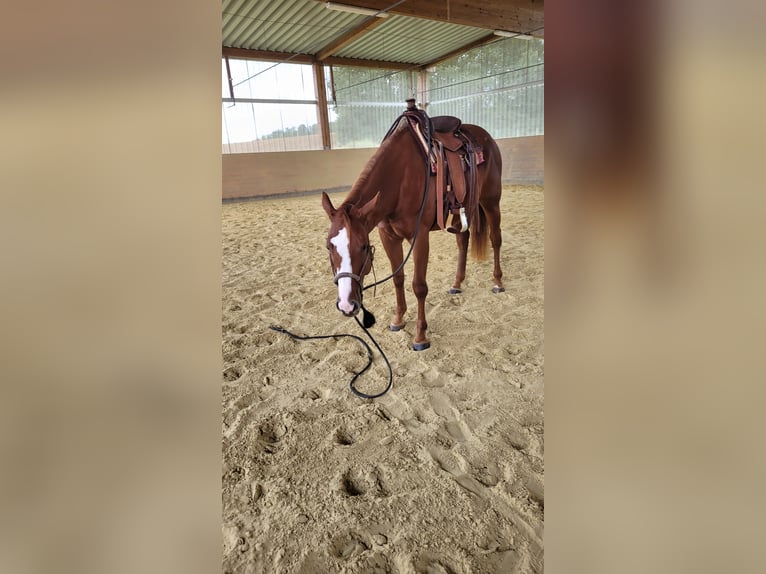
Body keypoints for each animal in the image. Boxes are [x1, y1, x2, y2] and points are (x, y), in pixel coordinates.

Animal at [322, 113, 508, 352]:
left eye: (363, 247)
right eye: (329, 246)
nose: (346, 304)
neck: (399, 178)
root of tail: (486, 138)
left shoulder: (419, 237)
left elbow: (419, 286)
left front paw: (420, 336)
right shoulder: (388, 237)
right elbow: (398, 278)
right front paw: (398, 319)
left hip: (491, 201)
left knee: (496, 239)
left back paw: (497, 282)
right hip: (463, 209)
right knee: (463, 240)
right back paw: (457, 284)